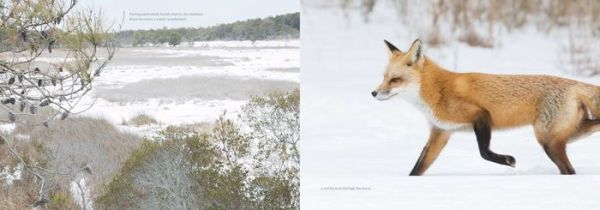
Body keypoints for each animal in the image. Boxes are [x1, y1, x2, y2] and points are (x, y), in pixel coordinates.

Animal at [370, 39, 600, 176]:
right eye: (384, 77)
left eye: (395, 80)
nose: (373, 93)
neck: (437, 91)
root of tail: (575, 84)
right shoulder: (441, 132)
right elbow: (418, 168)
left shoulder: (479, 114)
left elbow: (484, 151)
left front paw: (507, 161)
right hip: (565, 135)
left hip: (549, 141)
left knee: (570, 170)